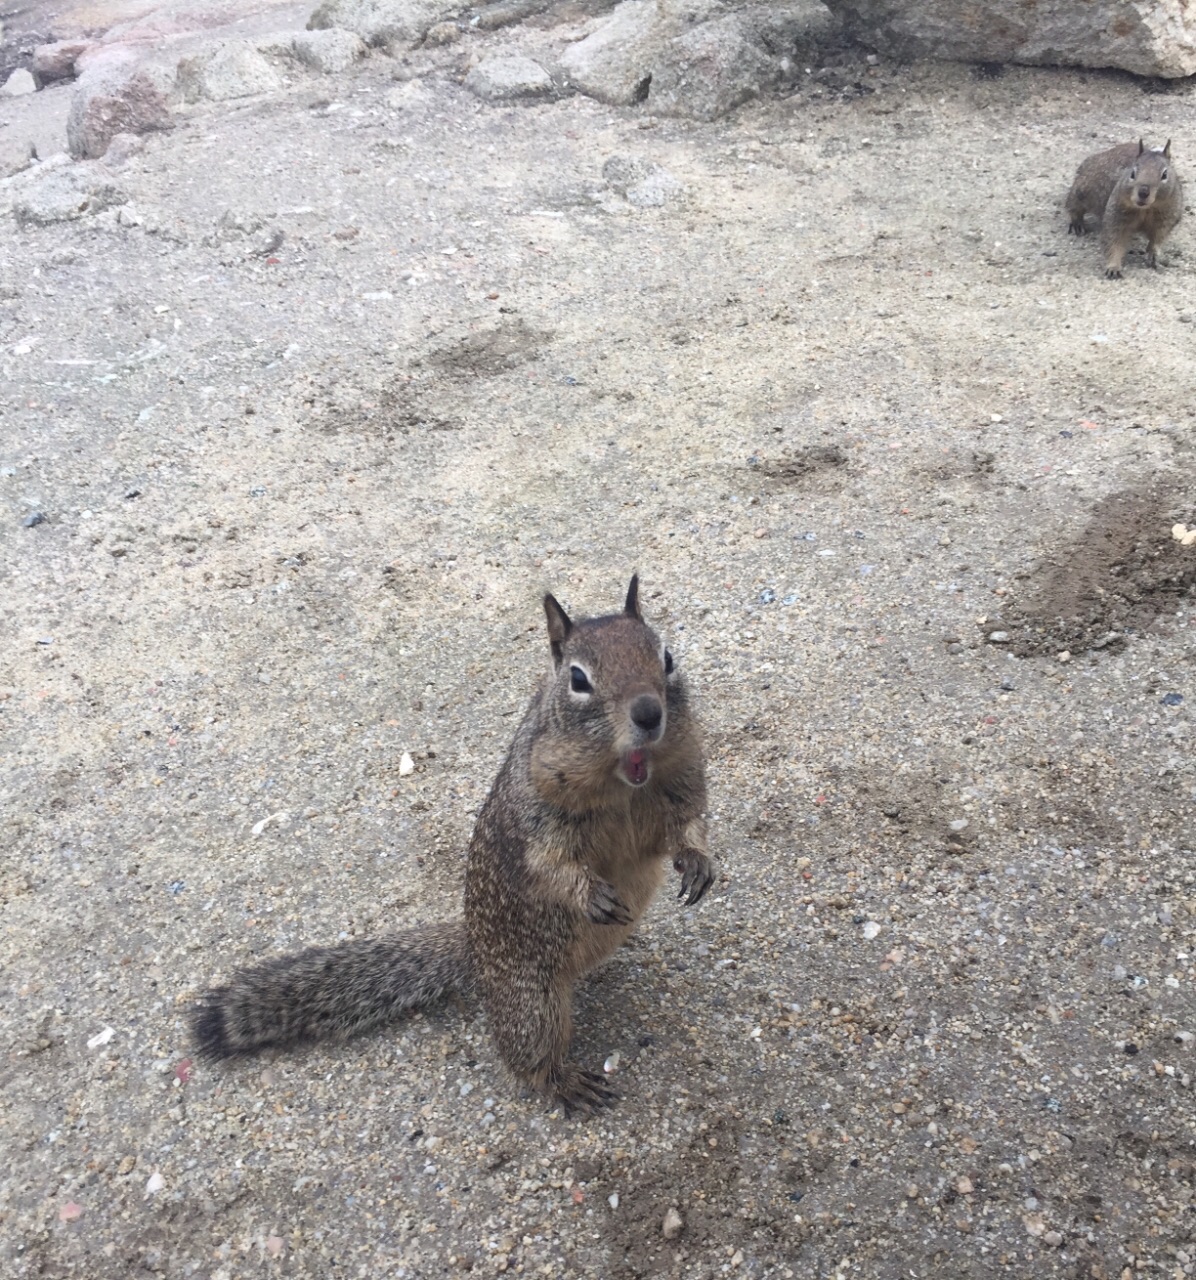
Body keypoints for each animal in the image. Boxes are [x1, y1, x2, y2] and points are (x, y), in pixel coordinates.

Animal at [193, 578, 717, 1111]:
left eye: (667, 656)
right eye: (578, 679)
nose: (649, 713)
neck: (624, 784)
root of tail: (475, 951)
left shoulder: (683, 779)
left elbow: (688, 823)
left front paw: (698, 863)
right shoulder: (537, 816)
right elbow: (550, 864)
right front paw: (591, 894)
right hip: (533, 1002)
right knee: (528, 1056)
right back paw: (564, 1081)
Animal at [1070, 137, 1183, 277]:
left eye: (1164, 174)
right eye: (1132, 173)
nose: (1143, 192)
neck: (1145, 209)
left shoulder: (1166, 219)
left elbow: (1157, 239)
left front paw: (1153, 255)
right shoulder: (1115, 216)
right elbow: (1114, 241)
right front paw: (1113, 267)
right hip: (1083, 190)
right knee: (1073, 204)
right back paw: (1077, 224)